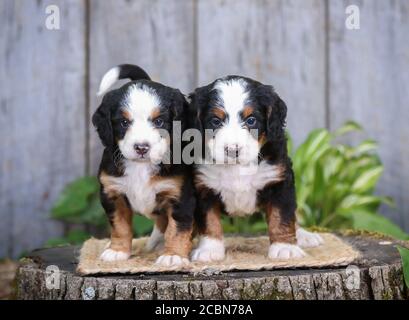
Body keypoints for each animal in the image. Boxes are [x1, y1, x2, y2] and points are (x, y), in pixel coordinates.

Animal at [92, 63, 194, 266]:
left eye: (159, 121)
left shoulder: (180, 195)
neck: (141, 167)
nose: (141, 147)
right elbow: (120, 226)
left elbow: (177, 228)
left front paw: (173, 256)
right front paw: (117, 251)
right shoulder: (113, 193)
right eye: (124, 122)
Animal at [187, 75, 322, 262]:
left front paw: (284, 248)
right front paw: (210, 249)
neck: (237, 167)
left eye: (251, 120)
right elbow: (209, 221)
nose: (232, 150)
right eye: (215, 121)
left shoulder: (279, 182)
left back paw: (304, 236)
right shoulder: (204, 188)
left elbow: (282, 216)